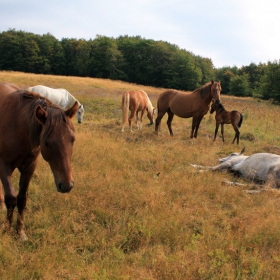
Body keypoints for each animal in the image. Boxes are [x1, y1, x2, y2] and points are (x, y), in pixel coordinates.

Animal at [0, 83, 78, 241]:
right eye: (47, 143)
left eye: (73, 139)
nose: (67, 185)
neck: (18, 127)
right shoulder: (4, 166)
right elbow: (10, 198)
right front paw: (7, 230)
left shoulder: (29, 168)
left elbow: (22, 199)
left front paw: (20, 232)